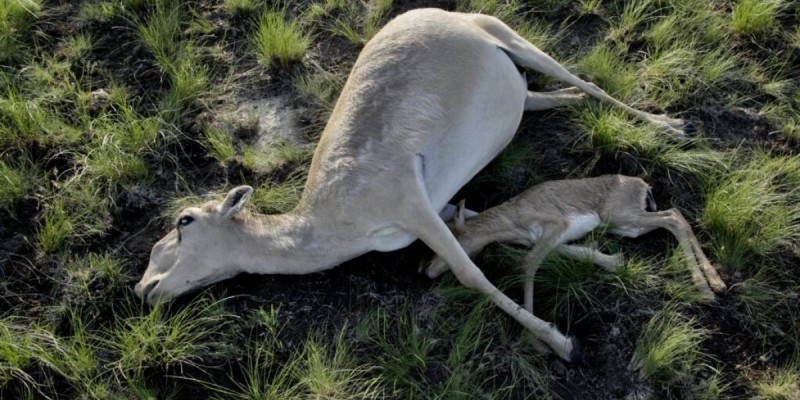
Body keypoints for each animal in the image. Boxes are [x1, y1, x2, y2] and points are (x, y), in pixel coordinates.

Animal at [134, 8, 697, 362]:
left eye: (184, 221)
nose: (144, 288)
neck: (333, 217)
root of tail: (432, 13)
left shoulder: (414, 205)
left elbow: (470, 272)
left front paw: (563, 344)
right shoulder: (444, 207)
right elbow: (508, 234)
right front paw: (609, 260)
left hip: (513, 37)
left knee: (588, 83)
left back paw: (672, 125)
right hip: (520, 86)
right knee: (553, 97)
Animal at [423, 175, 727, 324]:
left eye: (452, 234)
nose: (427, 271)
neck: (513, 219)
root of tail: (642, 184)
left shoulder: (555, 226)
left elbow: (529, 264)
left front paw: (535, 332)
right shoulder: (551, 239)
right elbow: (574, 252)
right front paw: (615, 262)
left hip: (620, 217)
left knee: (673, 218)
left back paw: (706, 287)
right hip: (626, 226)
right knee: (675, 214)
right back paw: (714, 284)